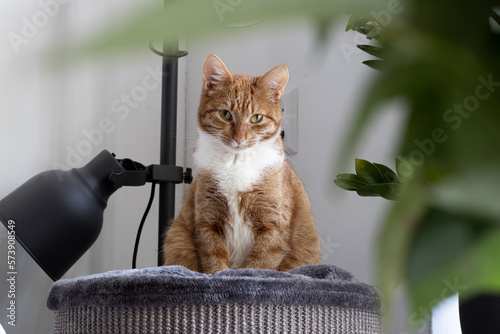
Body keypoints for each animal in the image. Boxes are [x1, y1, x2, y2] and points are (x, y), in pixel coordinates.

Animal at [162, 54, 322, 274]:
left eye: (257, 118)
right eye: (225, 114)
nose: (239, 138)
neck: (235, 163)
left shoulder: (272, 223)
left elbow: (260, 263)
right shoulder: (208, 221)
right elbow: (214, 258)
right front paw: (220, 276)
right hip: (177, 236)